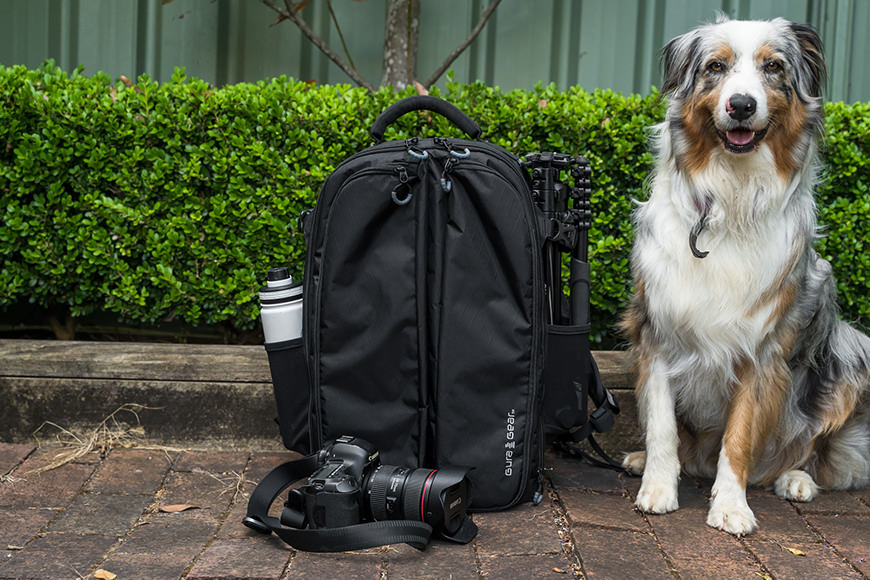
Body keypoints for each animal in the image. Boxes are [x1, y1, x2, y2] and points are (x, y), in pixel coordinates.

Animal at [620, 15, 870, 536]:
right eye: (715, 67)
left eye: (773, 67)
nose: (741, 104)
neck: (729, 199)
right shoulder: (656, 332)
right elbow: (661, 426)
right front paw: (657, 488)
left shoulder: (762, 347)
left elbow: (739, 437)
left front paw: (731, 507)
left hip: (851, 350)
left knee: (812, 449)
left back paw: (795, 478)